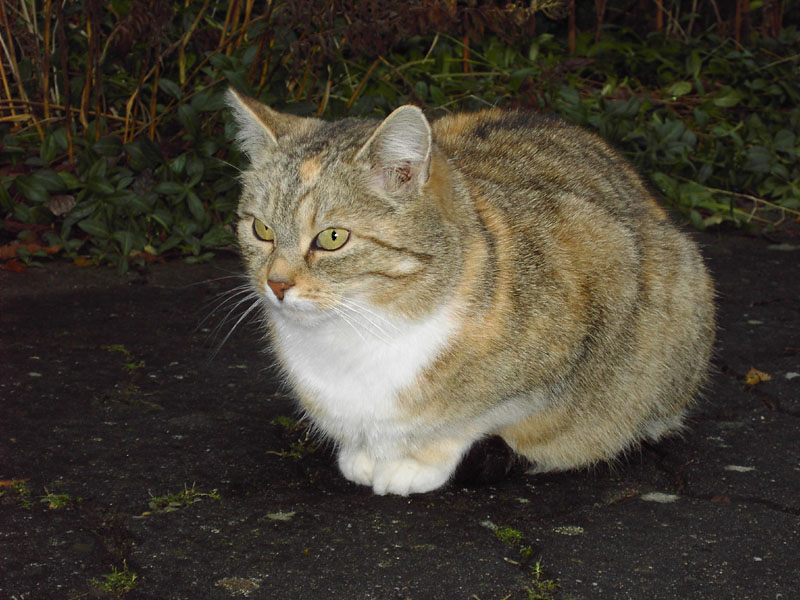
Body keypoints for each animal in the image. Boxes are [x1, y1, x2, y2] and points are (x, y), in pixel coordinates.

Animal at [228, 86, 716, 494]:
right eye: (261, 229)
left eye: (332, 238)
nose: (276, 283)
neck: (361, 328)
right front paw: (364, 454)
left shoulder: (593, 287)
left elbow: (476, 418)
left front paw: (415, 462)